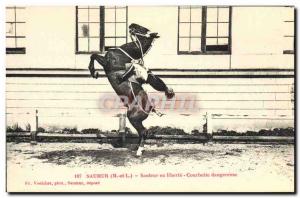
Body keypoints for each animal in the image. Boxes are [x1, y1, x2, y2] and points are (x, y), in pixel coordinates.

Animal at [88, 23, 175, 156]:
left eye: (142, 29)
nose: (132, 24)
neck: (124, 54)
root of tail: (150, 107)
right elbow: (93, 55)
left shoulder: (107, 63)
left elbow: (93, 55)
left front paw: (94, 72)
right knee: (143, 132)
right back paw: (137, 147)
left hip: (133, 118)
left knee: (144, 132)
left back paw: (139, 150)